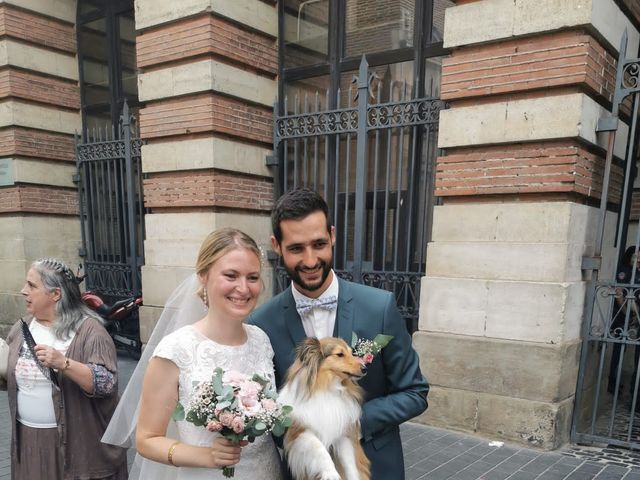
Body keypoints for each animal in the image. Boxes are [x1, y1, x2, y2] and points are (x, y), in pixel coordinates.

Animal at [278, 336, 370, 478]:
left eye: (351, 352)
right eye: (340, 354)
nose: (365, 368)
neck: (327, 388)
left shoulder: (342, 432)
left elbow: (348, 461)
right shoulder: (300, 431)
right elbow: (320, 449)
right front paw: (331, 474)